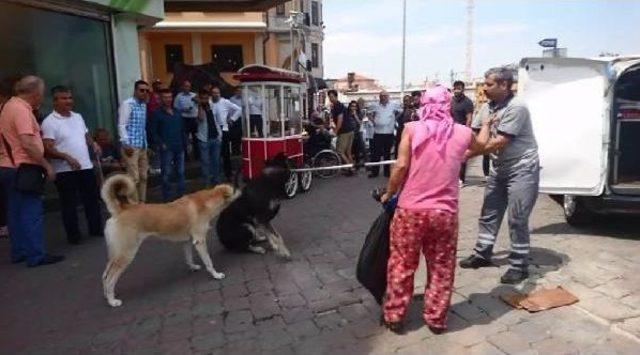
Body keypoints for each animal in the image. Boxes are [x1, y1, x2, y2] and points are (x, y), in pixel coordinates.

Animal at [101, 174, 236, 308]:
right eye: (235, 188)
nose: (239, 185)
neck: (206, 201)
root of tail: (121, 209)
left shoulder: (187, 241)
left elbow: (188, 257)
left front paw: (193, 267)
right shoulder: (200, 241)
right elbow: (208, 261)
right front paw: (216, 275)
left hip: (115, 254)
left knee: (105, 275)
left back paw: (107, 296)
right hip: (126, 254)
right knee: (110, 278)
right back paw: (112, 301)